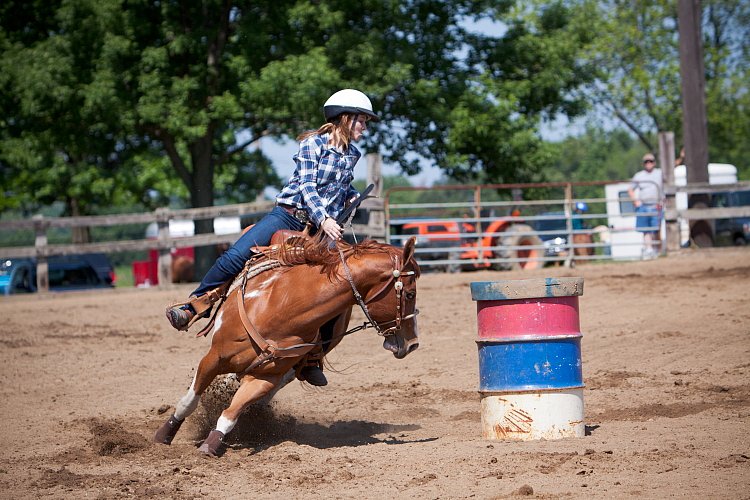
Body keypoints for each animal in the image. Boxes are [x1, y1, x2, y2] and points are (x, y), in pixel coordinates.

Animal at [153, 236, 424, 456]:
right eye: (410, 294)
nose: (412, 344)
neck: (282, 309)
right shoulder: (213, 357)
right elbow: (189, 400)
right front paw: (164, 435)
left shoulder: (266, 377)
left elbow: (232, 411)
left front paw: (211, 444)